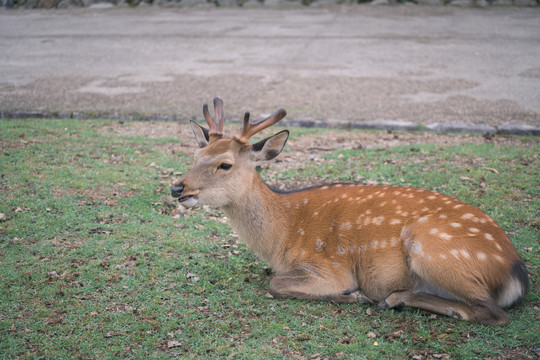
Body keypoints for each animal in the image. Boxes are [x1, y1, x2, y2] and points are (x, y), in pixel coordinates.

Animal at [171, 98, 528, 326]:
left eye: (225, 164)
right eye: (195, 155)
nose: (177, 188)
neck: (281, 238)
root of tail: (516, 272)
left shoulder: (329, 267)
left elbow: (276, 285)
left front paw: (353, 296)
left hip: (433, 249)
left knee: (492, 312)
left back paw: (393, 298)